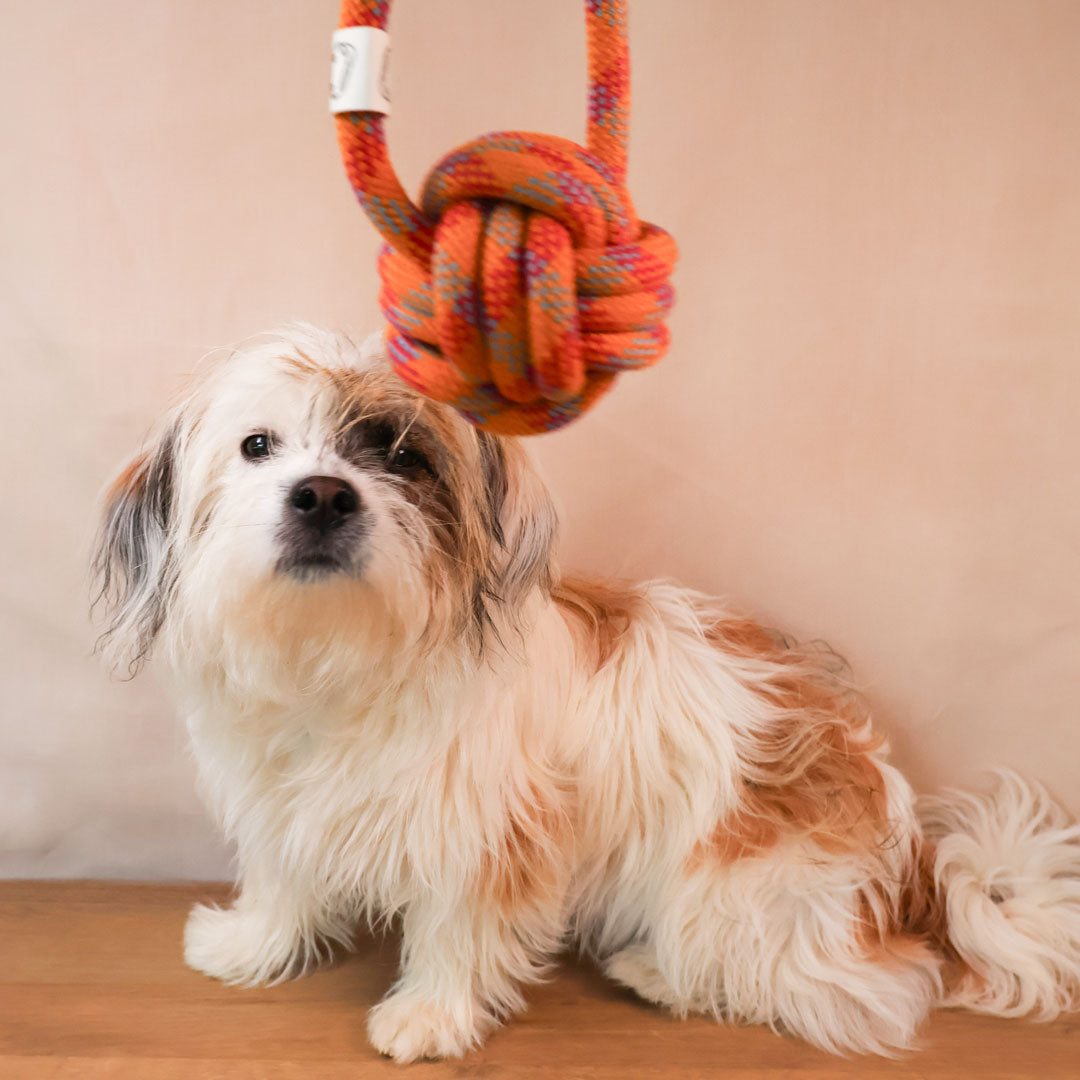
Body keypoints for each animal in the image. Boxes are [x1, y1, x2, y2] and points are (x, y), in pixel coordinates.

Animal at [92, 324, 1080, 1058]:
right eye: (257, 446)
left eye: (403, 456)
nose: (326, 495)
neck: (342, 655)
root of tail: (914, 868)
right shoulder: (281, 802)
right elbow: (283, 884)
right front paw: (248, 948)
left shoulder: (488, 831)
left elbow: (457, 927)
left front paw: (429, 1016)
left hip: (736, 887)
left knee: (849, 990)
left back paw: (663, 974)